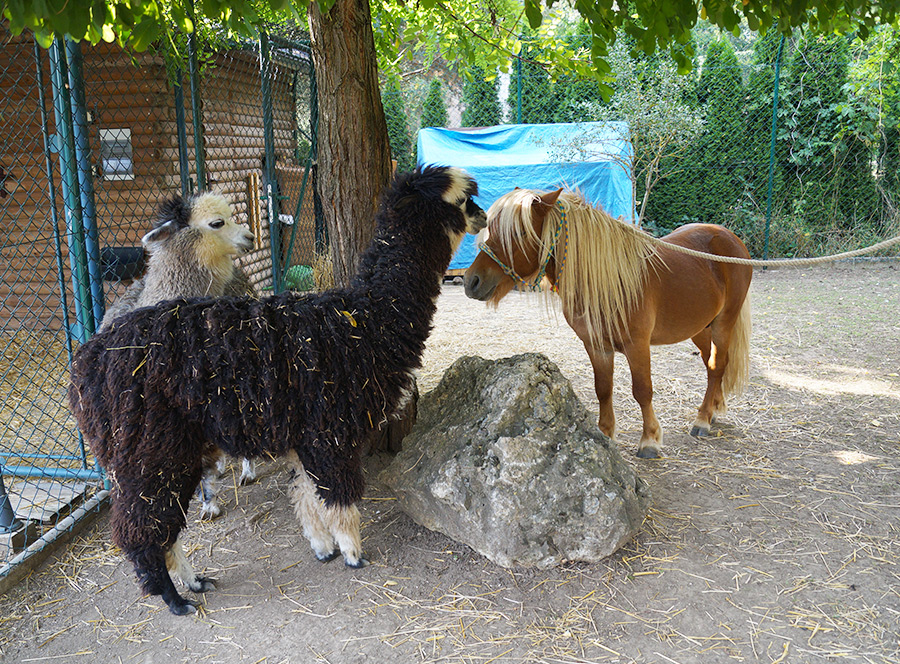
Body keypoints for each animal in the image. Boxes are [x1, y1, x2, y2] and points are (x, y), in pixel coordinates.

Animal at [464, 187, 752, 456]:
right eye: (490, 228)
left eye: (521, 233)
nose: (471, 281)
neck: (609, 282)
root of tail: (730, 238)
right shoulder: (596, 346)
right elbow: (603, 389)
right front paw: (605, 434)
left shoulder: (637, 345)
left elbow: (642, 390)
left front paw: (649, 440)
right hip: (700, 327)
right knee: (711, 363)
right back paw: (713, 410)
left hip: (723, 323)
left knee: (716, 366)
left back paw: (702, 420)